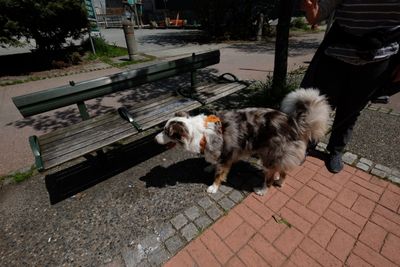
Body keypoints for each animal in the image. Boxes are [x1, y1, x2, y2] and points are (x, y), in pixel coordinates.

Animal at [155, 89, 330, 196]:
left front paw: (213, 187)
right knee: (283, 169)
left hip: (270, 155)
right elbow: (213, 162)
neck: (199, 133)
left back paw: (263, 189)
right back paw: (280, 181)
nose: (155, 138)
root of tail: (293, 122)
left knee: (271, 174)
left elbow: (219, 174)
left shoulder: (225, 156)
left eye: (166, 132)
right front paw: (209, 166)